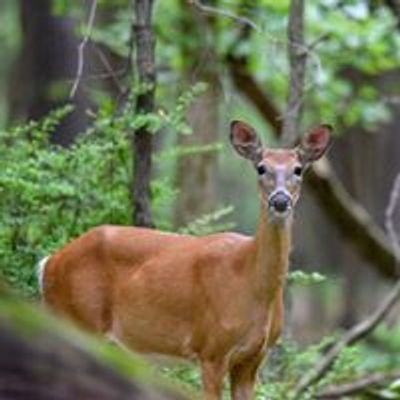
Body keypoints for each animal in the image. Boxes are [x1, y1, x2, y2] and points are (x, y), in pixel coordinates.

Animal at [37, 121, 332, 400]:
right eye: (261, 168)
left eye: (298, 169)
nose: (280, 200)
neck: (250, 282)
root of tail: (48, 263)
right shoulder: (211, 349)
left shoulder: (253, 359)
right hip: (77, 319)